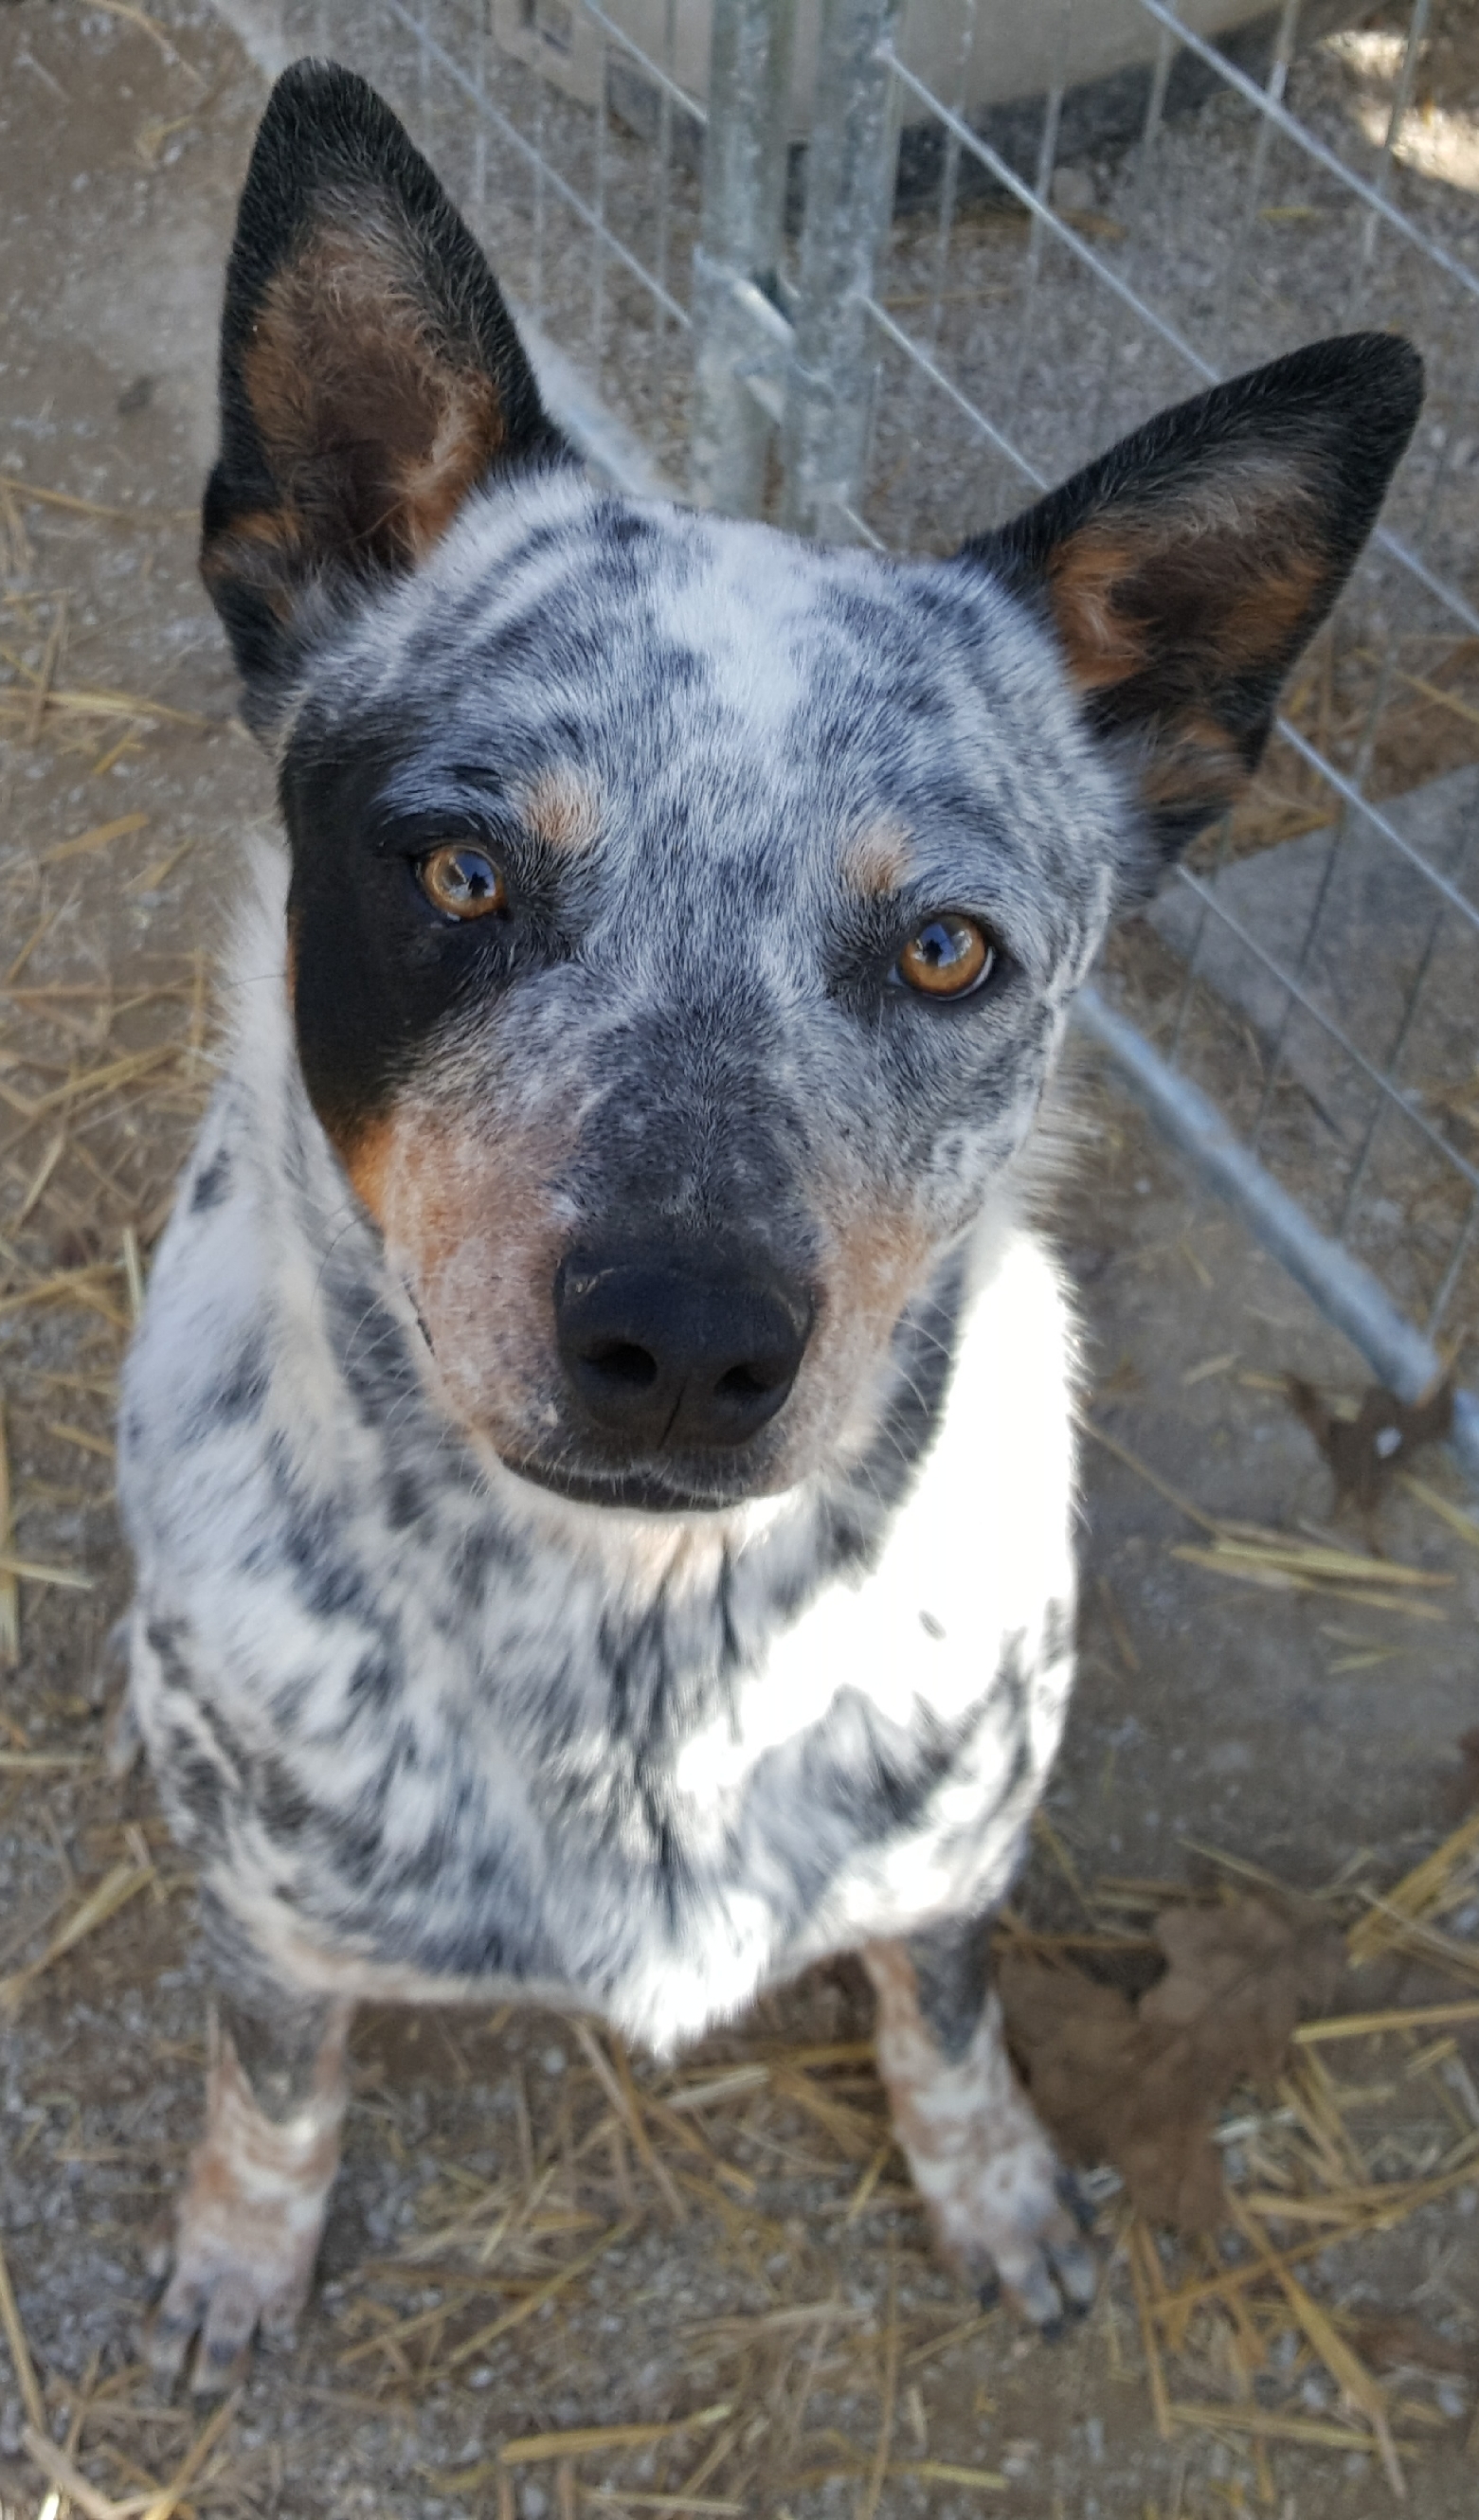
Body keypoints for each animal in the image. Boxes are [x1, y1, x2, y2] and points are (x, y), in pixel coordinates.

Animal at [121, 54, 1431, 2379]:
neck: (636, 1650)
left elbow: (945, 2013)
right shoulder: (264, 1896)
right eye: (462, 871)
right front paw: (238, 2253)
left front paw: (992, 2183)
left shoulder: (957, 1848)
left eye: (947, 953)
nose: (684, 1338)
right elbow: (275, 2082)